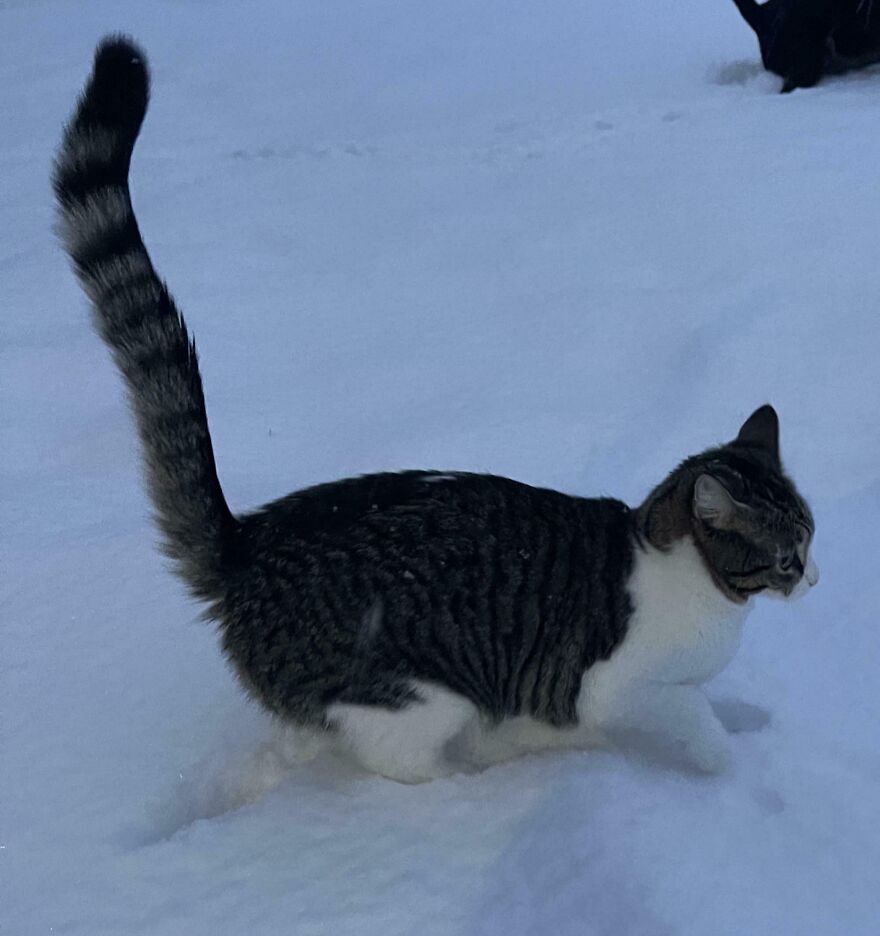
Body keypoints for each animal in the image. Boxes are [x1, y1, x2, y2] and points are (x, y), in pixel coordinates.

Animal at [53, 36, 820, 784]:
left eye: (810, 541)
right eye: (787, 556)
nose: (813, 578)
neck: (688, 576)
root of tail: (245, 544)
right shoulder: (617, 688)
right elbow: (694, 724)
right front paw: (729, 767)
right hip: (414, 696)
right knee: (402, 767)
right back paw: (479, 774)